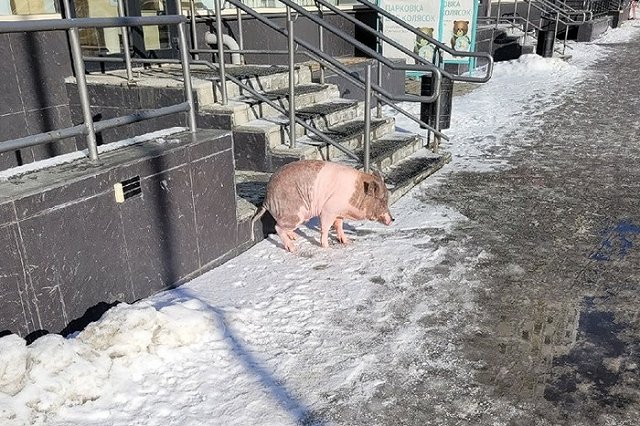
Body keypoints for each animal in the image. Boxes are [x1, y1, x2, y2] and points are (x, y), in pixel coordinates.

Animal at [252, 160, 394, 252]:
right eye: (383, 200)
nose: (393, 219)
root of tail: (267, 198)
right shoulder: (328, 209)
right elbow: (325, 228)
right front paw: (327, 247)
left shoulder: (339, 212)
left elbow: (339, 225)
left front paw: (347, 241)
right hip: (294, 213)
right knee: (277, 227)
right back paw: (293, 248)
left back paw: (294, 237)